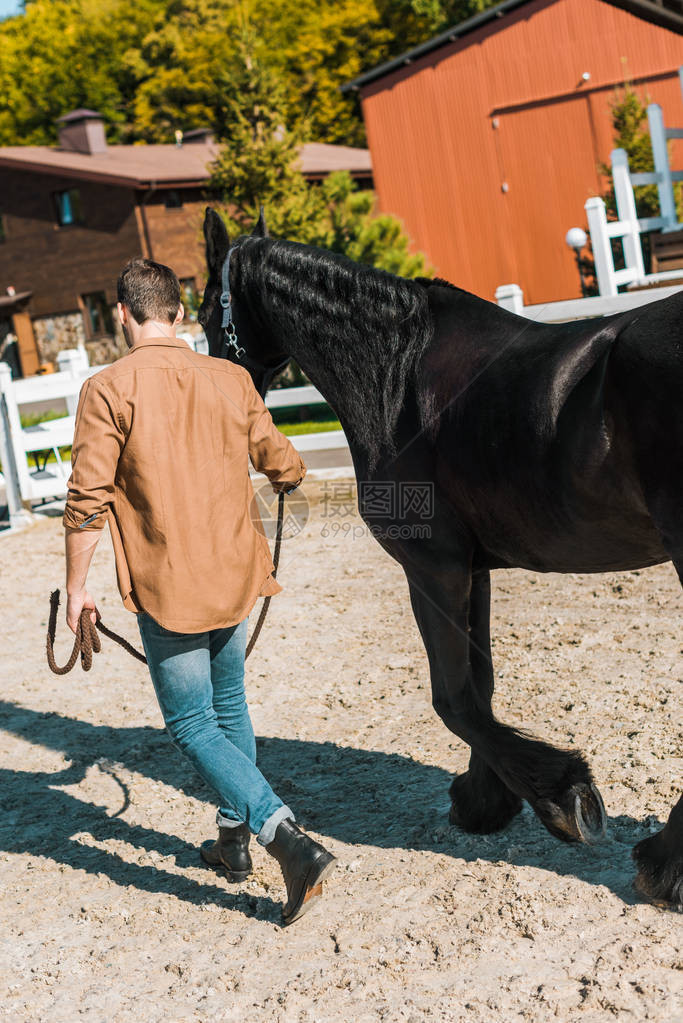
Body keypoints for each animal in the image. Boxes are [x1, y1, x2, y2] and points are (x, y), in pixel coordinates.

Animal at [198, 203, 683, 908]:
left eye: (207, 309)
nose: (219, 393)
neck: (396, 374)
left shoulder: (433, 567)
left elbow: (453, 698)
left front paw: (564, 796)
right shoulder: (471, 570)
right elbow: (478, 686)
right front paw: (487, 801)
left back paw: (663, 863)